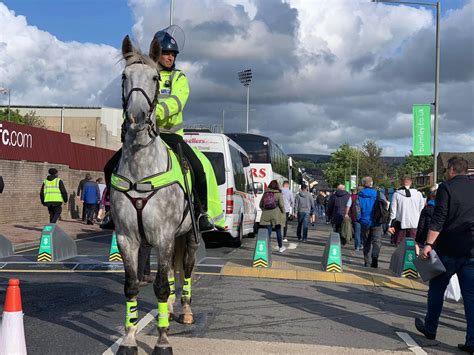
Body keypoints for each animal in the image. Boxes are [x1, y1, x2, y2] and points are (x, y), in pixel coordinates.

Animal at [111, 35, 198, 355]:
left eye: (155, 78)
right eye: (124, 77)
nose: (136, 117)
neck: (141, 169)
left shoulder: (163, 235)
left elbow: (160, 285)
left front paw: (162, 341)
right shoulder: (127, 237)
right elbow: (132, 286)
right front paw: (129, 339)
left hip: (187, 236)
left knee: (185, 271)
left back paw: (184, 310)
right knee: (172, 273)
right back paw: (171, 310)